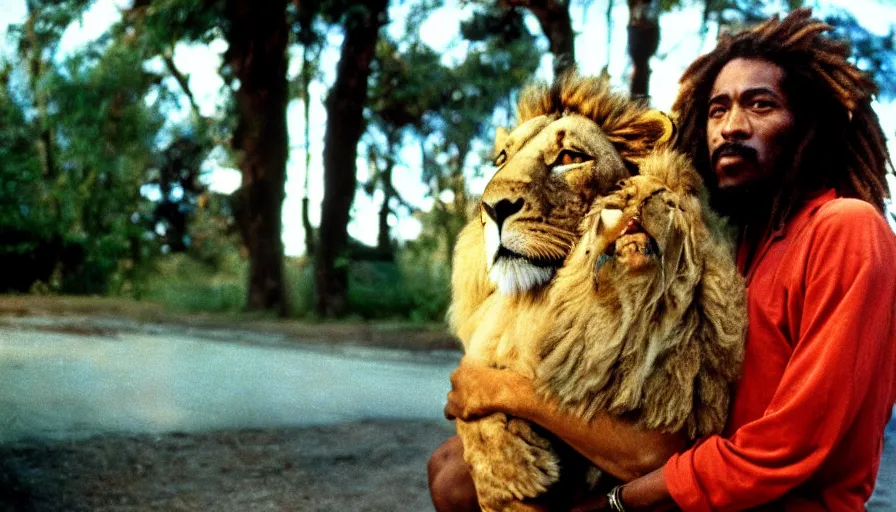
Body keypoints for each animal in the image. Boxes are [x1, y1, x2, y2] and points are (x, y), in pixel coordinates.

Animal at [452, 74, 676, 512]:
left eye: (570, 157)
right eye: (501, 158)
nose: (491, 208)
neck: (535, 305)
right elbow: (472, 425)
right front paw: (513, 471)